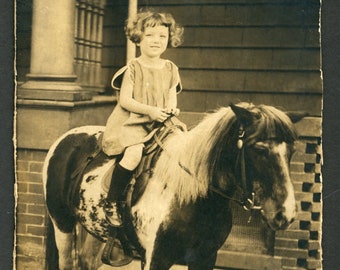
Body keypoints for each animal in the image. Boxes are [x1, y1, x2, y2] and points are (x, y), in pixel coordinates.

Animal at [42, 102, 306, 268]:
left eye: (291, 150)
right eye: (259, 149)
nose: (285, 214)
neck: (191, 197)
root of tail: (66, 138)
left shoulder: (205, 257)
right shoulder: (157, 259)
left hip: (94, 232)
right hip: (62, 226)